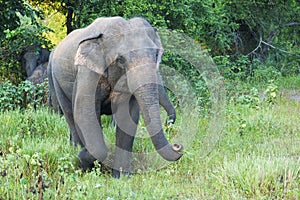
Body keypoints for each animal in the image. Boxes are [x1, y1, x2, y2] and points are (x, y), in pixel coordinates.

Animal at [47, 16, 183, 177]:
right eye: (121, 59)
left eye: (157, 55)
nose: (178, 146)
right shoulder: (88, 71)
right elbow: (84, 112)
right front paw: (82, 159)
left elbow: (128, 118)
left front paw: (121, 177)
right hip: (56, 79)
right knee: (69, 113)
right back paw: (75, 149)